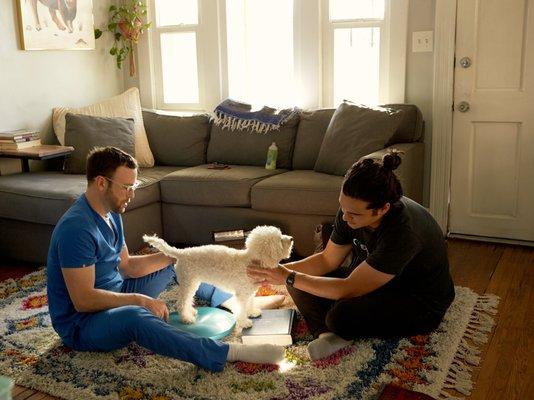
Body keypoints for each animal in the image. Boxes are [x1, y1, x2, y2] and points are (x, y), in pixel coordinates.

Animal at [143, 227, 294, 330]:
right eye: (280, 239)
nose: (291, 238)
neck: (250, 261)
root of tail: (181, 252)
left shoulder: (249, 292)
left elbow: (250, 303)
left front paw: (251, 312)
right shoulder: (241, 294)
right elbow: (241, 309)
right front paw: (244, 322)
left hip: (193, 282)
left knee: (187, 300)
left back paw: (190, 312)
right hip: (188, 281)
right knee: (180, 303)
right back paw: (187, 318)